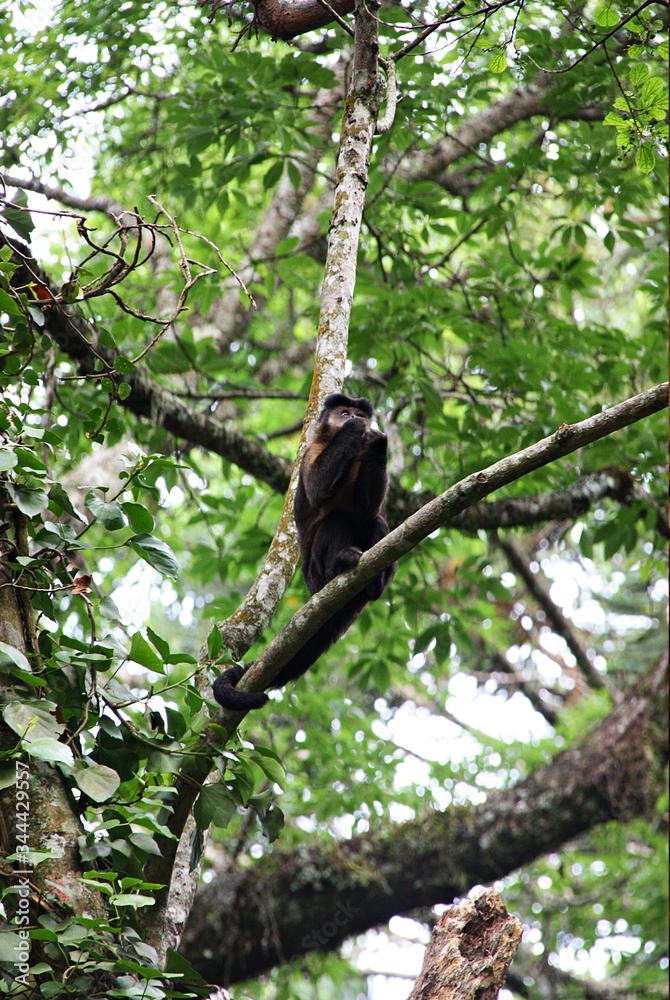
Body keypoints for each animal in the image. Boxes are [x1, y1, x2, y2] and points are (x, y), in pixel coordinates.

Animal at [213, 393, 395, 711]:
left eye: (358, 412)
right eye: (344, 412)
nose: (353, 418)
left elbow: (368, 508)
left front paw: (376, 441)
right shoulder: (311, 451)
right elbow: (318, 488)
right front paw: (352, 431)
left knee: (375, 521)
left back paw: (374, 584)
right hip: (315, 575)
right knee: (337, 520)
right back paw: (340, 566)